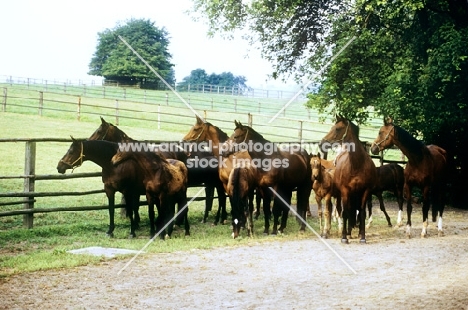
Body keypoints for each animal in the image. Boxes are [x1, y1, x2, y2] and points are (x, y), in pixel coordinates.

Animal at [322, 115, 376, 243]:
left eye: (337, 129)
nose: (322, 143)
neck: (357, 165)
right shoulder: (345, 191)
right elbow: (345, 212)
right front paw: (344, 237)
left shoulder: (365, 191)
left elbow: (362, 212)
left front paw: (362, 237)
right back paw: (347, 232)